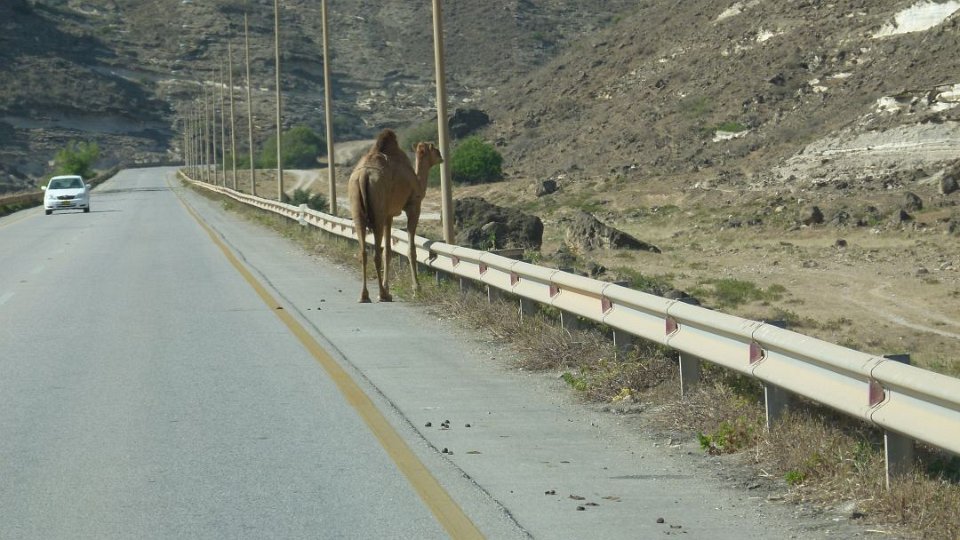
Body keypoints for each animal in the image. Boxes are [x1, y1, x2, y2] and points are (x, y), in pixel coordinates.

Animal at [347, 128, 443, 302]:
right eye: (434, 149)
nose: (442, 156)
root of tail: (364, 175)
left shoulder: (389, 214)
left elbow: (388, 251)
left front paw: (388, 287)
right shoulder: (413, 206)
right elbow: (411, 249)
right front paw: (416, 288)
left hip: (356, 205)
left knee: (364, 251)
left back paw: (365, 295)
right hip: (377, 209)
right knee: (376, 254)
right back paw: (382, 295)